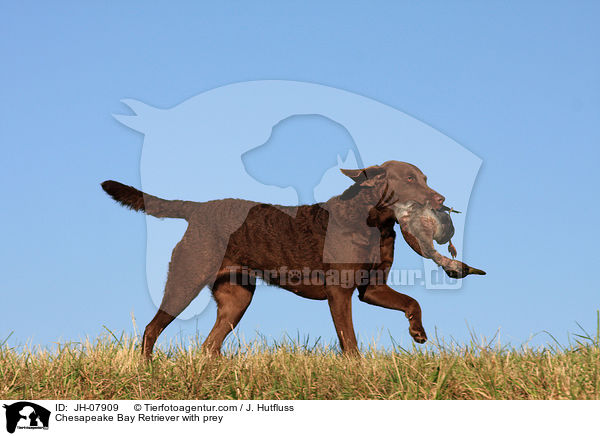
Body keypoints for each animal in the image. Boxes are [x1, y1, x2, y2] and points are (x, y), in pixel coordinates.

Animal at [99, 160, 482, 358]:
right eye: (409, 178)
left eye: (425, 178)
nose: (440, 198)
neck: (374, 223)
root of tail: (198, 209)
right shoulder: (340, 292)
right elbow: (349, 339)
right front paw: (356, 367)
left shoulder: (371, 288)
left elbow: (412, 302)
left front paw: (418, 332)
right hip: (186, 279)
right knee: (152, 329)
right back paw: (147, 368)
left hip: (237, 297)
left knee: (209, 346)